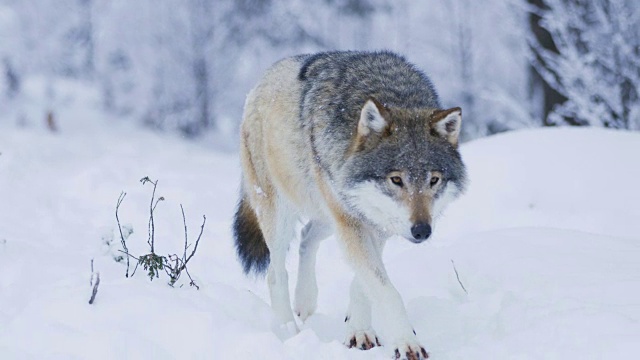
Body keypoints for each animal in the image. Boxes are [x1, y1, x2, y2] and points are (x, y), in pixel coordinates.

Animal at [232, 51, 468, 360]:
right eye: (396, 179)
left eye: (434, 180)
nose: (421, 231)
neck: (391, 93)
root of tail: (260, 81)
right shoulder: (351, 221)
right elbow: (385, 289)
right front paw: (407, 343)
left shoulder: (377, 224)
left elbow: (364, 282)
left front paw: (358, 330)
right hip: (282, 212)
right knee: (275, 272)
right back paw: (289, 334)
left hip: (325, 214)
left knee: (307, 237)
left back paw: (305, 301)